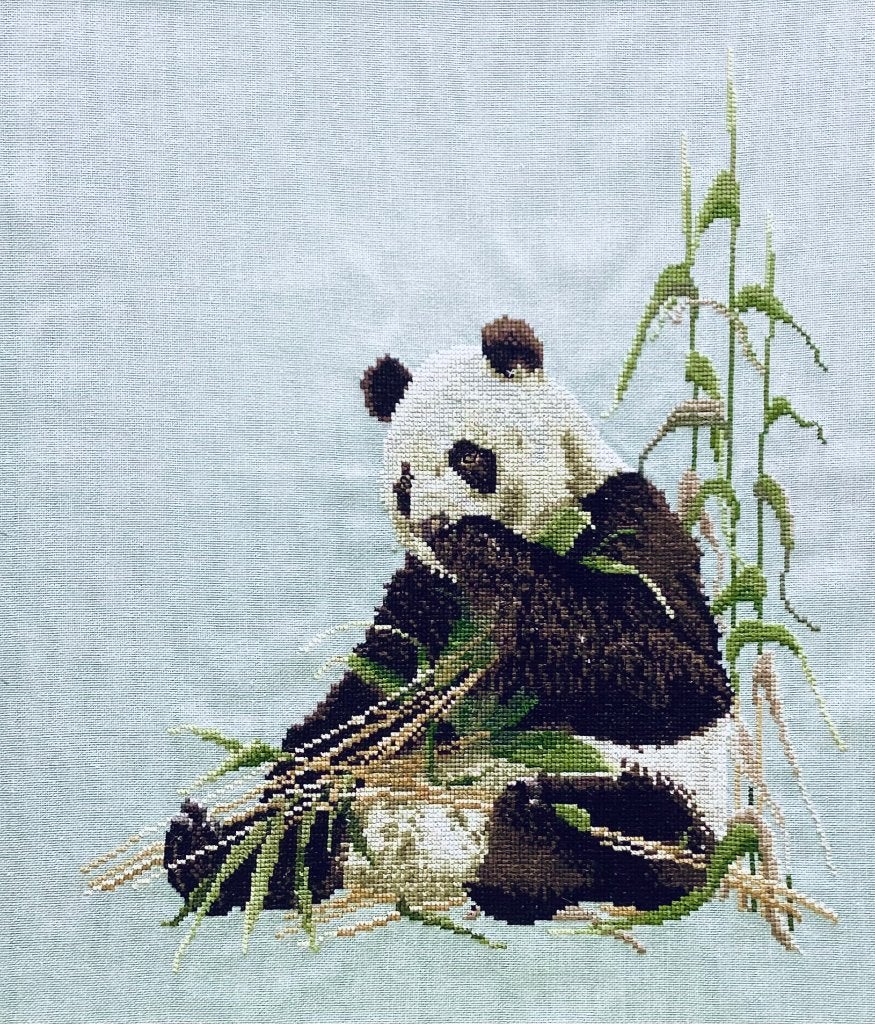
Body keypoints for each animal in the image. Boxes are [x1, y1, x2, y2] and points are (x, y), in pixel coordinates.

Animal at [165, 316, 733, 926]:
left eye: (468, 457)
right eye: (405, 483)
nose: (435, 522)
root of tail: (415, 867)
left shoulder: (626, 522)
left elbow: (675, 672)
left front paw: (480, 550)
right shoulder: (429, 595)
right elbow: (369, 691)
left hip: (661, 792)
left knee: (631, 831)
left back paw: (523, 838)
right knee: (299, 823)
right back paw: (206, 852)